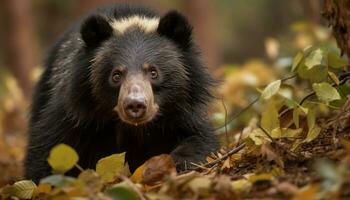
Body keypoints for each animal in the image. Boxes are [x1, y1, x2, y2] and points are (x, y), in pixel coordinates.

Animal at [24, 3, 217, 182]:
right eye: (116, 75)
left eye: (153, 72)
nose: (135, 104)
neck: (133, 129)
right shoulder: (76, 115)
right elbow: (48, 152)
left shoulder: (182, 113)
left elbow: (200, 138)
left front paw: (177, 162)